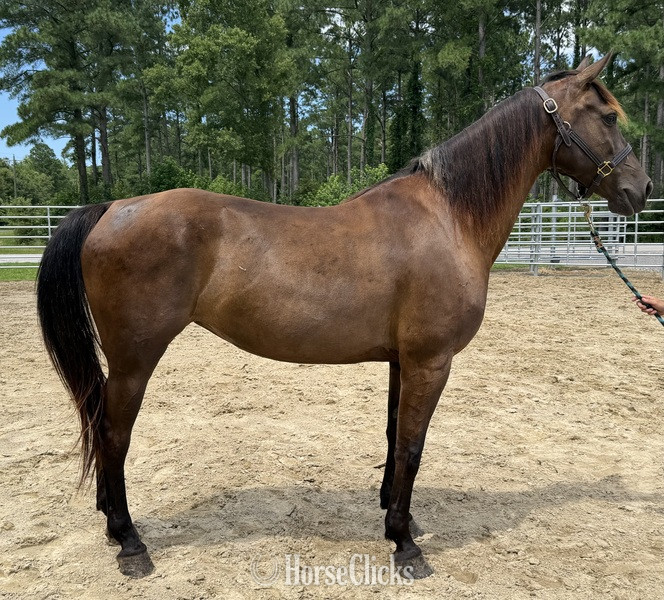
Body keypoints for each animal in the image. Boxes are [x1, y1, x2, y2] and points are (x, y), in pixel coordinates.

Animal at [37, 54, 652, 579]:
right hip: (135, 361)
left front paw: (397, 519)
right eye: (606, 116)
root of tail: (112, 208)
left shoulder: (404, 361)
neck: (449, 216)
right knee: (113, 434)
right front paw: (406, 546)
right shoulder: (432, 361)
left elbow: (394, 439)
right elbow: (412, 447)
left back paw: (112, 525)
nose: (641, 189)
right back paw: (130, 543)